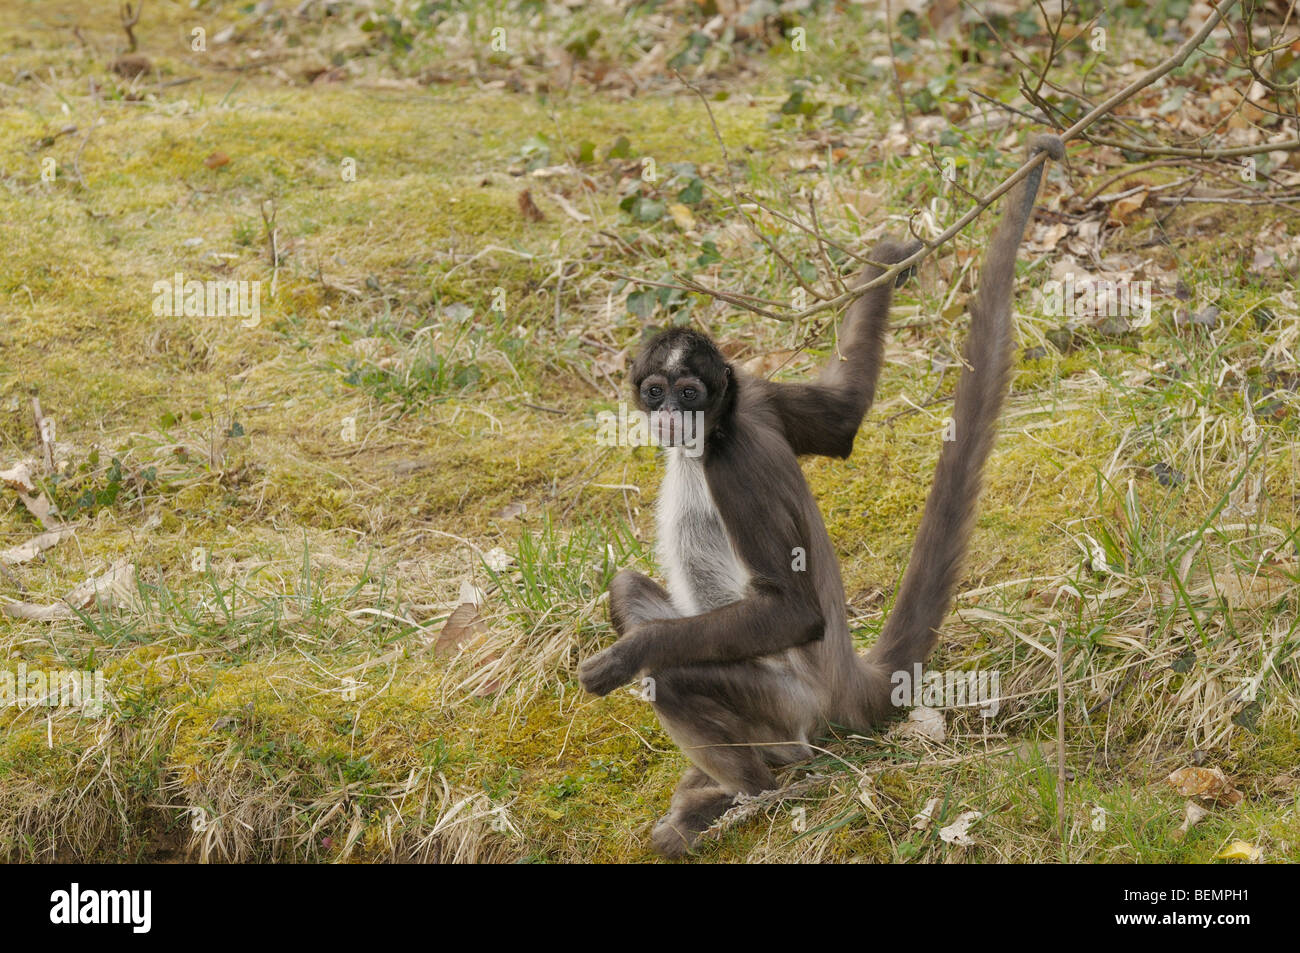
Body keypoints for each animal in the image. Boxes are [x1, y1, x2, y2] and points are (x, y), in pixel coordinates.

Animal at [582, 133, 1066, 852]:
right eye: (655, 390)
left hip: (789, 709)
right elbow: (843, 418)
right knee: (627, 591)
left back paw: (753, 794)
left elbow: (793, 612)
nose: (670, 415)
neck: (721, 425)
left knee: (674, 676)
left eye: (690, 393)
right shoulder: (757, 390)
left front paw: (627, 656)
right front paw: (889, 258)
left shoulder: (733, 461)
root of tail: (843, 683)